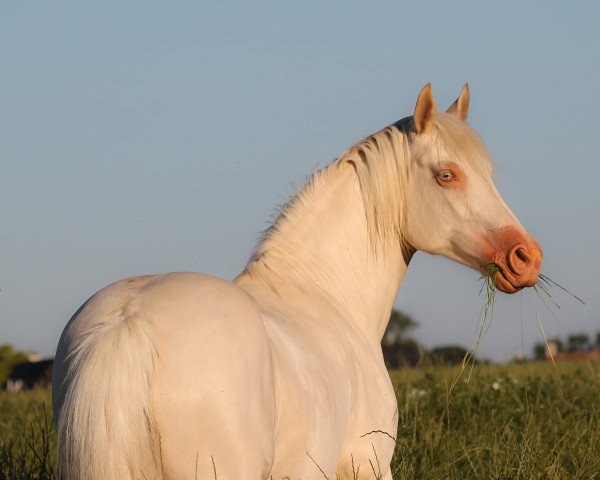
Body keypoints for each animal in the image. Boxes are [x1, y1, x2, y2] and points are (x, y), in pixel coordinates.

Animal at [52, 84, 544, 478]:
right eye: (446, 175)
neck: (326, 295)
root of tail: (129, 322)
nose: (526, 258)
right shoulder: (368, 464)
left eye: (488, 175)